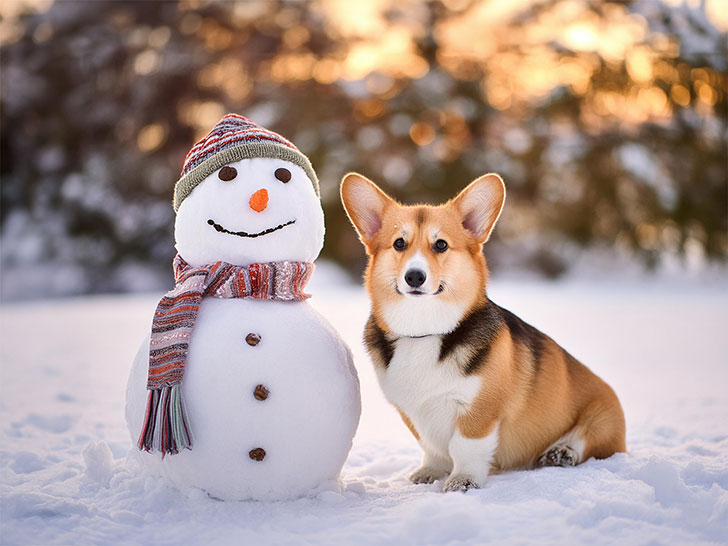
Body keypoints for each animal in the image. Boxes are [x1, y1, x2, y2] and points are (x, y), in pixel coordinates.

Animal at [342, 172, 624, 490]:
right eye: (399, 243)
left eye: (441, 245)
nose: (414, 276)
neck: (425, 331)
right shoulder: (412, 413)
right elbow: (431, 446)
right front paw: (429, 472)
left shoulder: (479, 412)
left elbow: (465, 447)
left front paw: (463, 480)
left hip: (603, 417)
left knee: (588, 440)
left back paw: (563, 452)